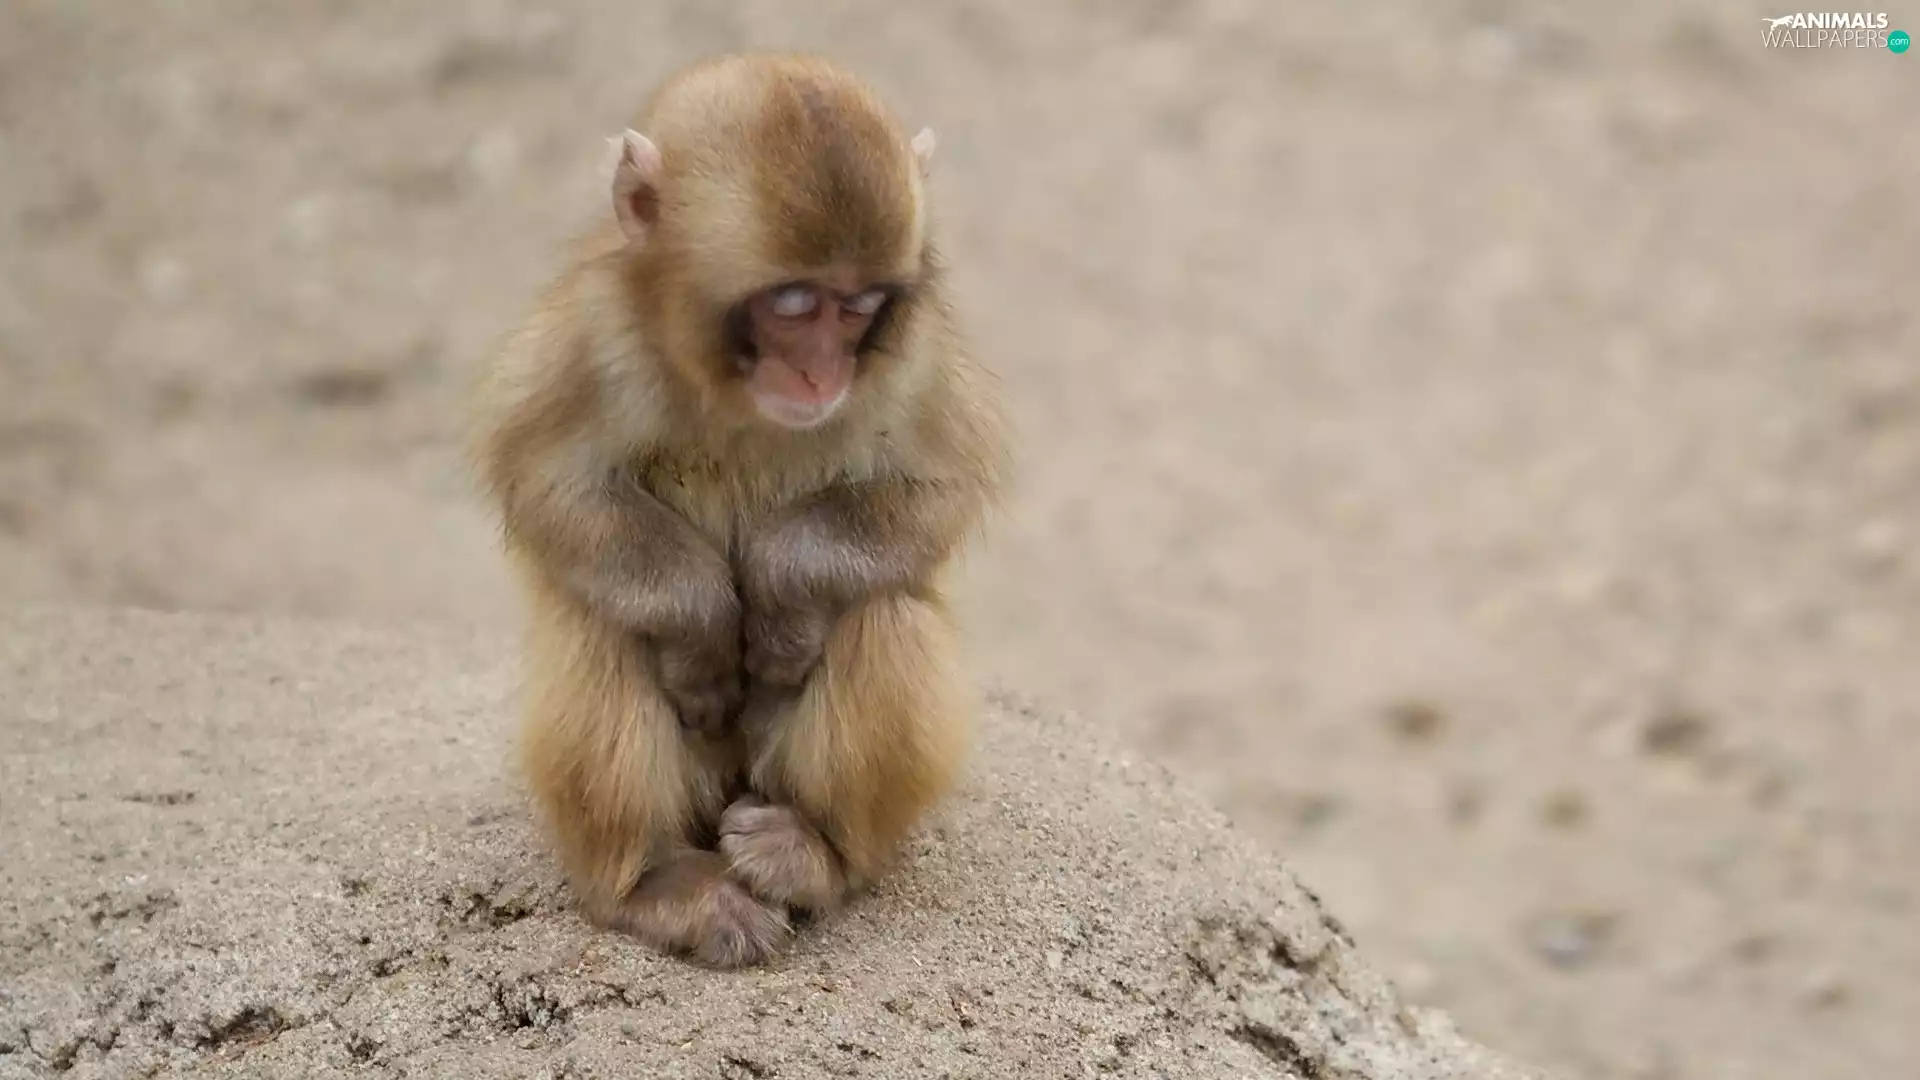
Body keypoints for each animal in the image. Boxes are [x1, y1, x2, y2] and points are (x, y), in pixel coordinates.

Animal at [469, 53, 1009, 968]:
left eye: (860, 305)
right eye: (793, 304)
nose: (822, 374)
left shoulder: (915, 353)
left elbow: (937, 488)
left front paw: (781, 596)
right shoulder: (591, 333)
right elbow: (549, 479)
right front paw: (704, 630)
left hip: (764, 767)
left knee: (884, 613)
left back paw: (816, 853)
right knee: (600, 624)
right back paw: (653, 885)